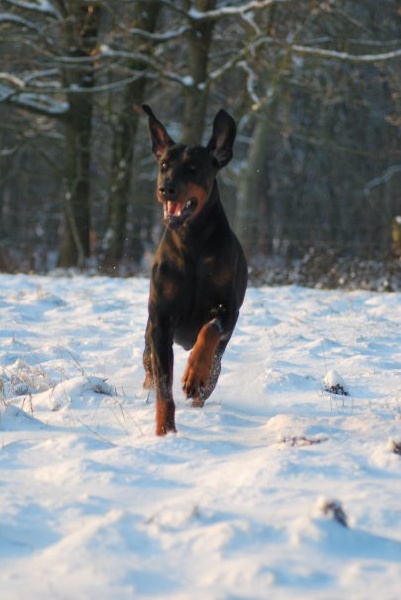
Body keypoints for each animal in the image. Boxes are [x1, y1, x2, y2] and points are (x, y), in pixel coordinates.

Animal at [141, 105, 247, 436]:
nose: (165, 188)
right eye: (163, 165)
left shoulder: (228, 309)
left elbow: (209, 331)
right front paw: (165, 431)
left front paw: (193, 374)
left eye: (192, 168)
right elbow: (163, 385)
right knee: (149, 369)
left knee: (213, 370)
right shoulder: (161, 321)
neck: (191, 244)